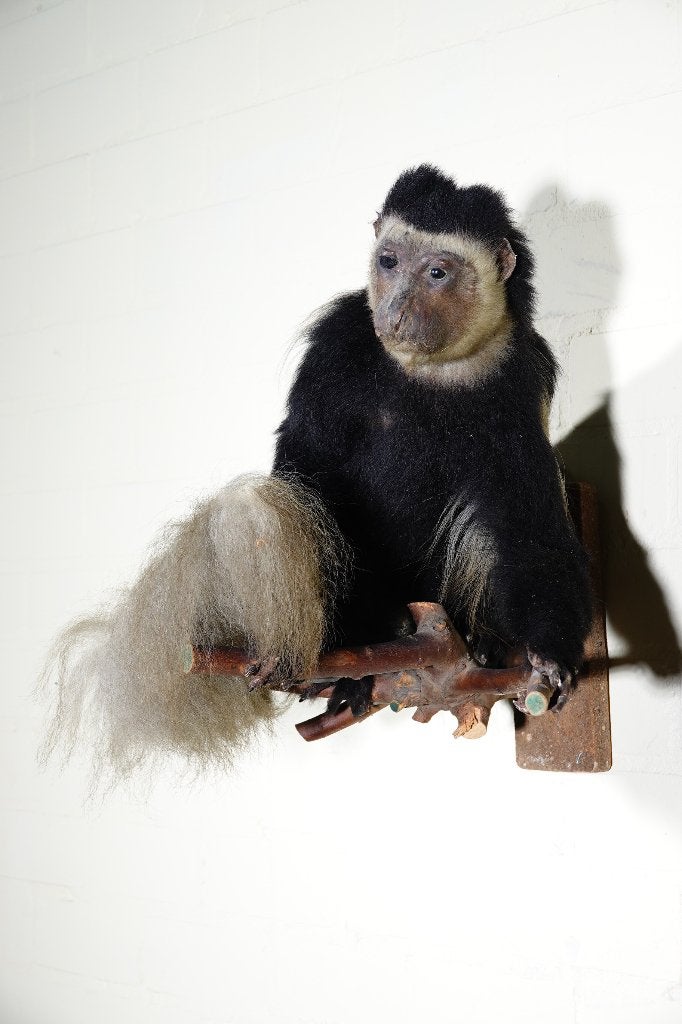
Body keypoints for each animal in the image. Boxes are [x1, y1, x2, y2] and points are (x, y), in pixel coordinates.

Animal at [41, 165, 591, 782]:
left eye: (437, 272)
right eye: (389, 261)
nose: (398, 307)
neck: (434, 370)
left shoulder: (520, 378)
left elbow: (526, 520)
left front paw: (550, 657)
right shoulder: (341, 340)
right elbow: (310, 468)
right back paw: (355, 651)